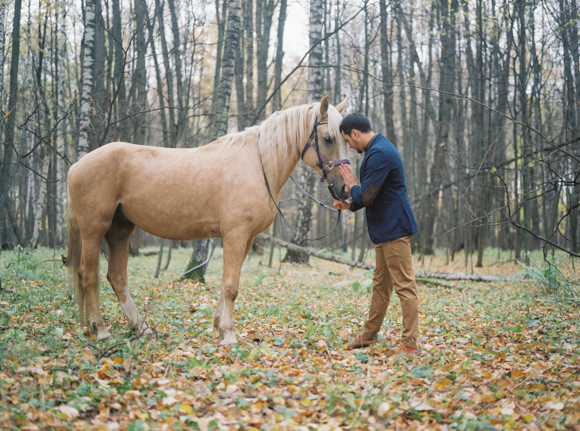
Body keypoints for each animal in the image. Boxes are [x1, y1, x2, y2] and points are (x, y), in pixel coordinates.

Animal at [68, 96, 348, 346]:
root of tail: (77, 165)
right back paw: (102, 331)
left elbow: (227, 284)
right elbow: (231, 286)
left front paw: (219, 328)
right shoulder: (235, 234)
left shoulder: (246, 238)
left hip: (119, 230)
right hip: (94, 230)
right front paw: (229, 335)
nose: (344, 189)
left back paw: (140, 328)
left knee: (117, 278)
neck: (258, 164)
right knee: (88, 275)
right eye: (328, 138)